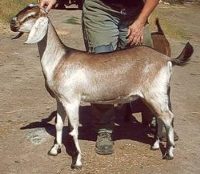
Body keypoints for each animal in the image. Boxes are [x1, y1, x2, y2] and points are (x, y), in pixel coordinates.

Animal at [10, 4, 193, 169]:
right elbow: (59, 125)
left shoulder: (72, 101)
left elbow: (73, 130)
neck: (60, 60)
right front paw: (55, 150)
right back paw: (155, 145)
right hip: (151, 97)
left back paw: (169, 153)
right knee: (161, 116)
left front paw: (77, 161)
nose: (12, 23)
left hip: (155, 94)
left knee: (168, 116)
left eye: (32, 15)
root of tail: (166, 58)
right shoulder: (60, 100)